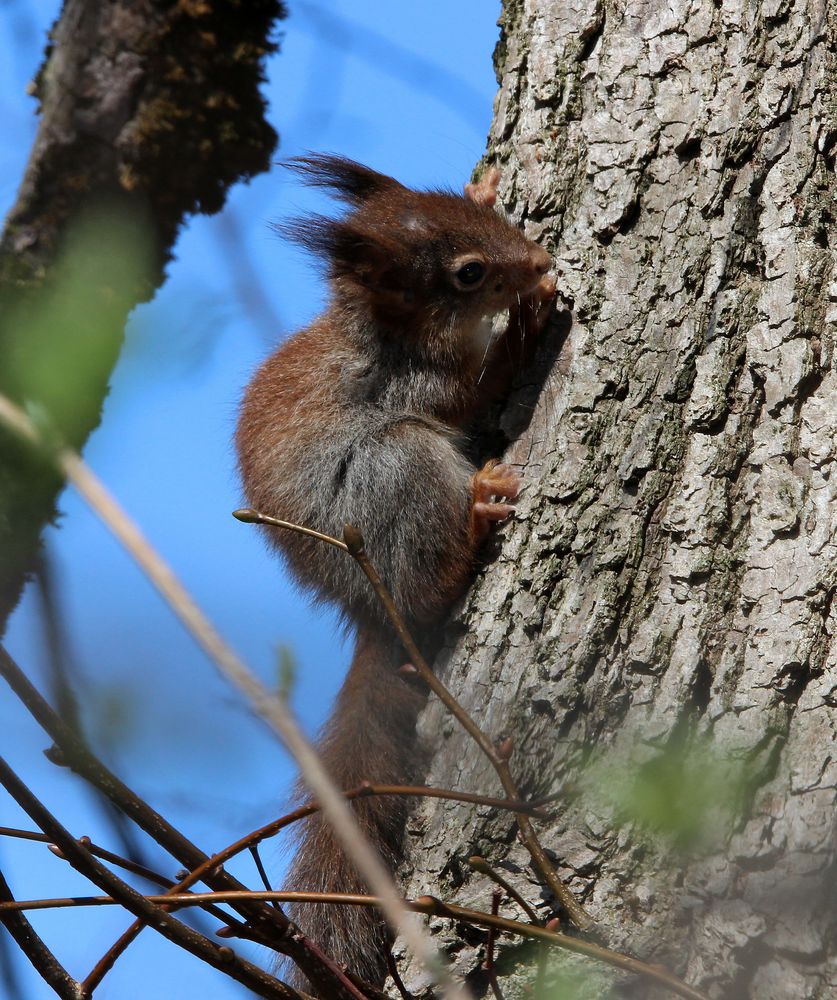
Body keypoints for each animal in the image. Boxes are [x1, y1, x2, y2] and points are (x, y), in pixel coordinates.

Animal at [235, 156, 552, 992]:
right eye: (468, 275)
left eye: (491, 221)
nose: (538, 261)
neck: (389, 330)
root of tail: (372, 607)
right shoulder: (415, 386)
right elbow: (473, 394)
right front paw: (520, 337)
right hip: (395, 468)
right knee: (433, 580)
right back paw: (474, 520)